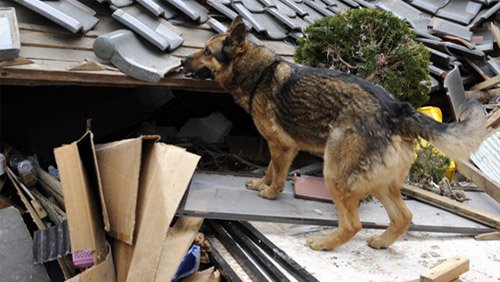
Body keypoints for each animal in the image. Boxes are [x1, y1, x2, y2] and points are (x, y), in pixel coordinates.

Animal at [182, 16, 486, 250]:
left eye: (207, 51)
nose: (183, 61)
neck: (258, 73)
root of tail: (396, 109)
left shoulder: (281, 146)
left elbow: (277, 173)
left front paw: (269, 193)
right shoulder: (279, 146)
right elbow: (269, 169)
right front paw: (261, 184)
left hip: (335, 174)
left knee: (353, 223)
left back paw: (324, 243)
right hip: (380, 183)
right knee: (404, 217)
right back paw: (381, 242)